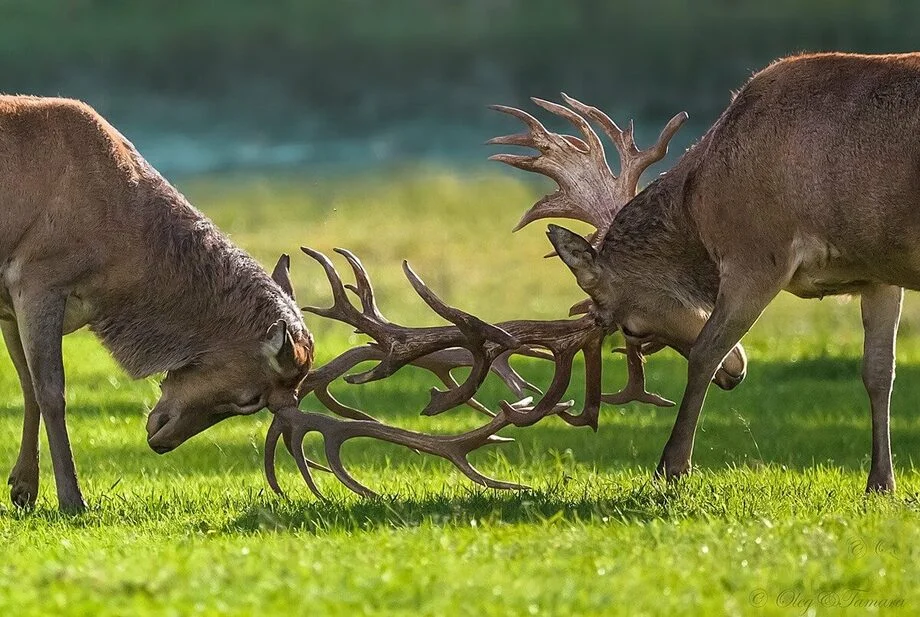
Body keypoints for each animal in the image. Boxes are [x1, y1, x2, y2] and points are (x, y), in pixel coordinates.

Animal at [488, 54, 920, 496]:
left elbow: (704, 352)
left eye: (632, 328)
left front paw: (671, 466)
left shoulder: (758, 252)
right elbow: (879, 371)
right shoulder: (877, 272)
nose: (734, 375)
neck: (701, 205)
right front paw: (881, 483)